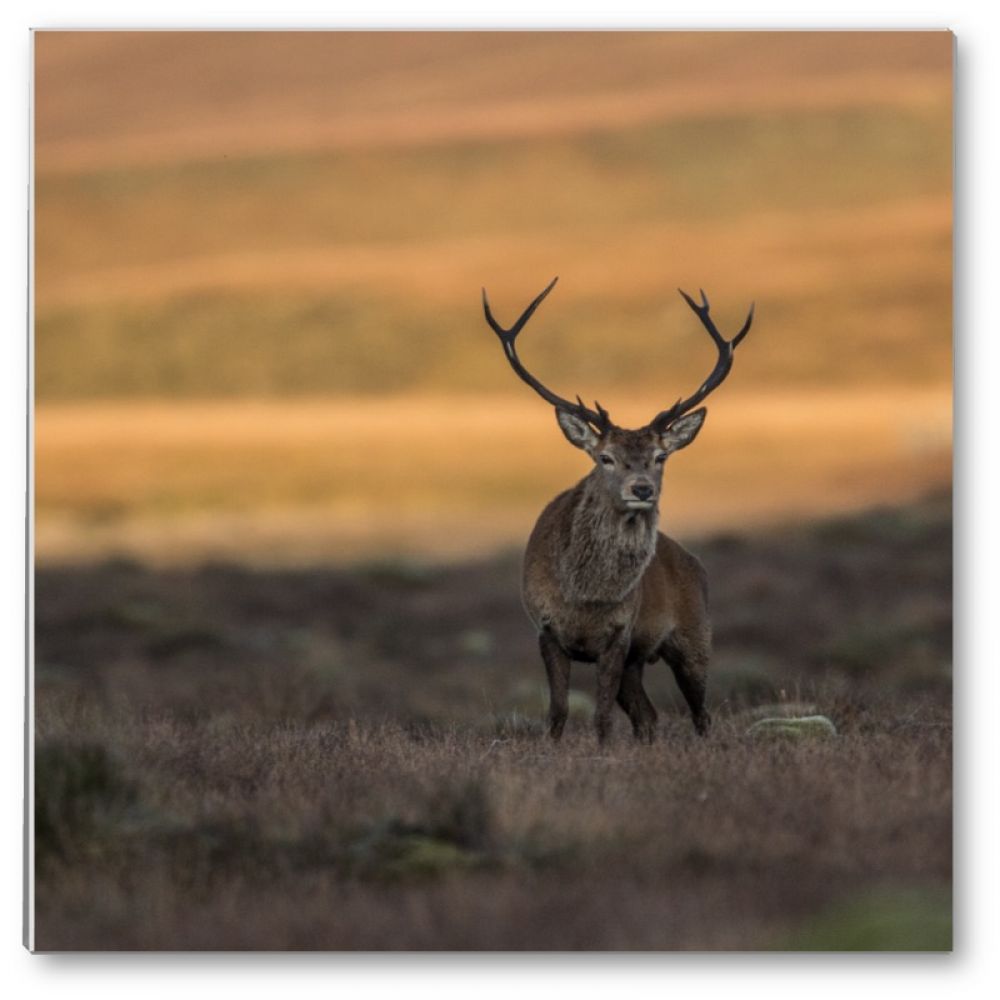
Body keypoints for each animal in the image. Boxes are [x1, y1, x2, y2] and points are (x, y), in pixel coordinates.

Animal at [482, 278, 752, 748]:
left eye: (661, 456)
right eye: (605, 457)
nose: (642, 488)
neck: (585, 597)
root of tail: (693, 561)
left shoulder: (619, 636)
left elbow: (602, 717)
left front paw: (603, 753)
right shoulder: (547, 631)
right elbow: (557, 713)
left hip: (695, 636)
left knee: (701, 713)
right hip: (640, 660)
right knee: (648, 716)